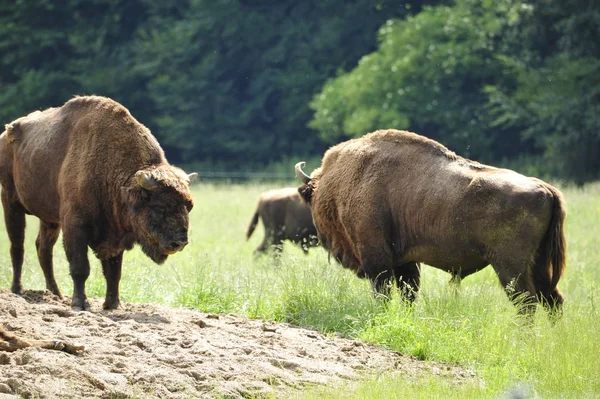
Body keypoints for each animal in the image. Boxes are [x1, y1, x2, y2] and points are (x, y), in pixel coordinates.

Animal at [0, 97, 197, 312]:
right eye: (159, 207)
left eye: (189, 206)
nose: (180, 242)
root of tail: (6, 133)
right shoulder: (75, 227)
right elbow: (80, 267)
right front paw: (80, 304)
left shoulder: (115, 235)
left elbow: (114, 272)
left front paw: (113, 305)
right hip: (11, 203)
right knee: (17, 247)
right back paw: (17, 290)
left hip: (50, 220)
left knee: (43, 249)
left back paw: (55, 294)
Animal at [296, 130, 568, 314]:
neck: (338, 182)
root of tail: (546, 189)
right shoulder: (405, 262)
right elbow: (408, 293)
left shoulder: (377, 258)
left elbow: (384, 292)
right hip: (539, 264)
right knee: (552, 299)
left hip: (510, 267)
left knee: (527, 303)